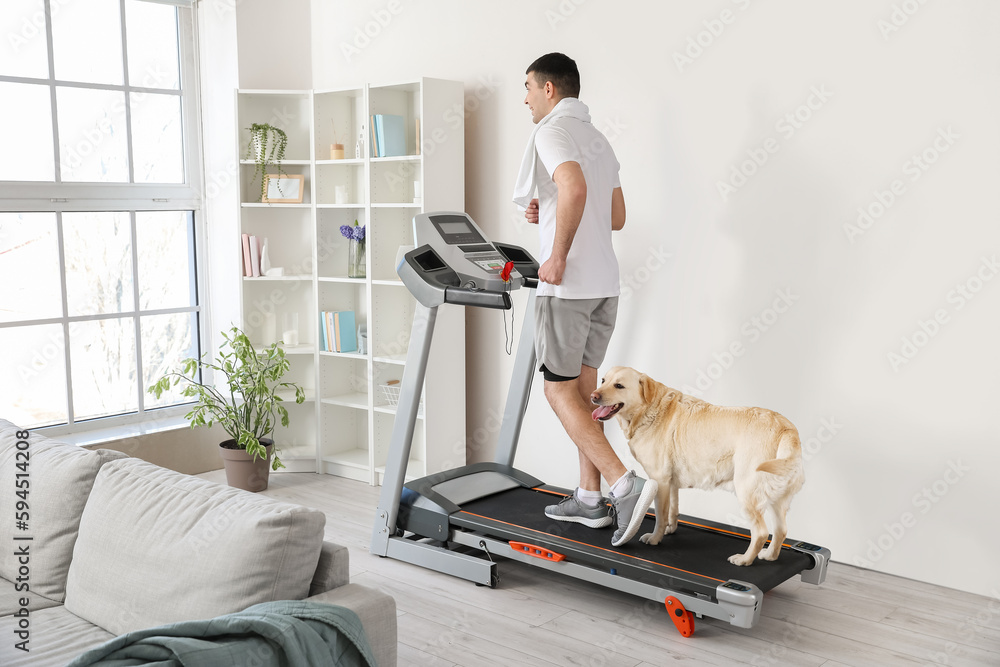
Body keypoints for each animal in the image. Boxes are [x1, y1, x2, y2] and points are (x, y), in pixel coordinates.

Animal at [592, 368, 804, 568]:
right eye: (603, 380)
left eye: (619, 385)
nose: (593, 396)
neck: (650, 410)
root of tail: (786, 429)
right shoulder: (671, 482)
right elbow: (672, 509)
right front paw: (670, 528)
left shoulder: (660, 480)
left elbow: (660, 515)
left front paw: (654, 538)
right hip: (777, 497)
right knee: (781, 530)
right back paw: (770, 555)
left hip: (746, 492)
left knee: (761, 532)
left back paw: (744, 560)